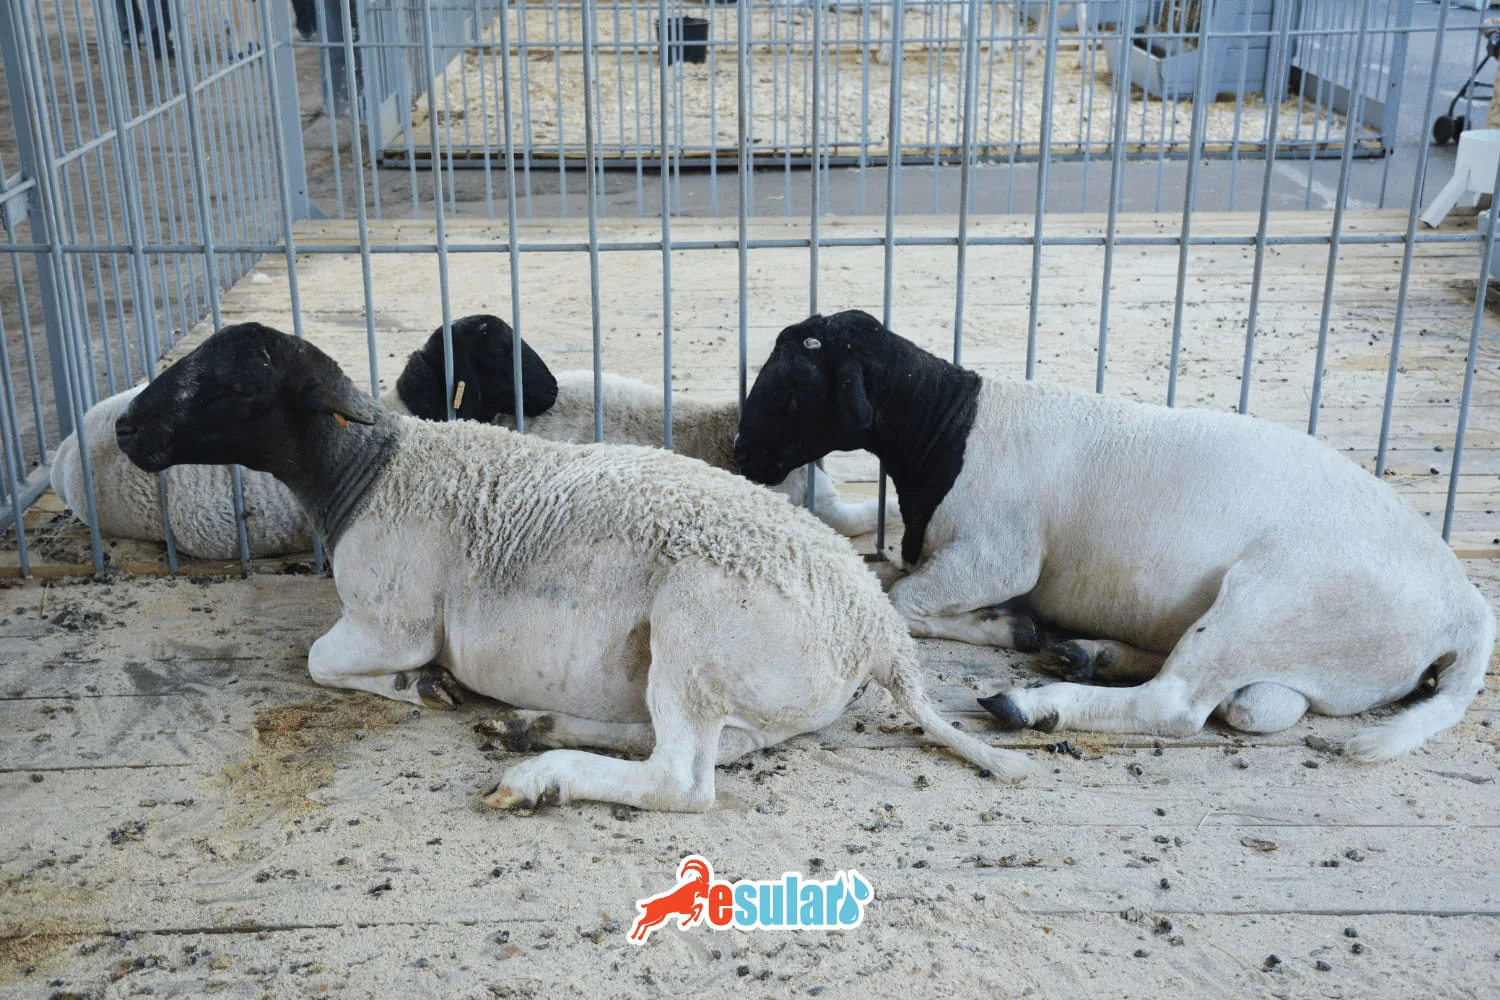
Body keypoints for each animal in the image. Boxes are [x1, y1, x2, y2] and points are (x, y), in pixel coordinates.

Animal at [114, 321, 1033, 810]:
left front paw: (421, 686)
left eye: (236, 387)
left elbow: (321, 660)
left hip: (697, 627)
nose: (126, 430)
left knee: (681, 779)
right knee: (700, 744)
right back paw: (534, 726)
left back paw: (538, 774)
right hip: (741, 687)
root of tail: (879, 632)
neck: (369, 473)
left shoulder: (387, 621)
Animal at [732, 310, 1496, 761]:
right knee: (1250, 702)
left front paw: (1003, 627)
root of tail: (1465, 608)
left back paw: (1033, 703)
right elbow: (895, 583)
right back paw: (1091, 654)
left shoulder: (998, 555)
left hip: (1271, 596)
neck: (949, 429)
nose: (741, 457)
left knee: (1179, 704)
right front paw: (1017, 629)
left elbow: (905, 599)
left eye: (791, 390)